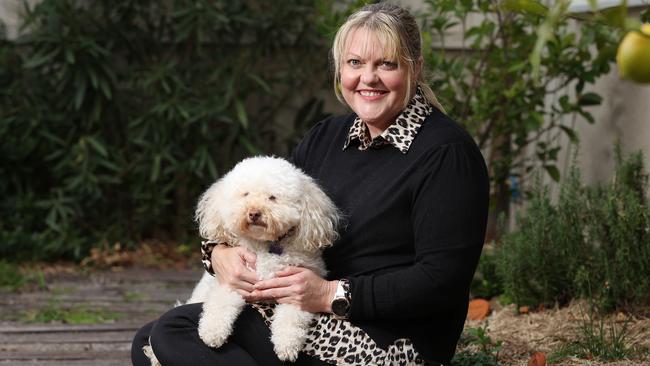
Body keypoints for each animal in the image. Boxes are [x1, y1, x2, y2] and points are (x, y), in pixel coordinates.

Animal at [143, 155, 340, 364]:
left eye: (272, 197)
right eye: (245, 194)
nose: (254, 213)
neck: (266, 246)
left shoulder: (299, 289)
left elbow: (292, 317)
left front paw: (286, 344)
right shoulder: (234, 278)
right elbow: (220, 303)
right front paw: (212, 331)